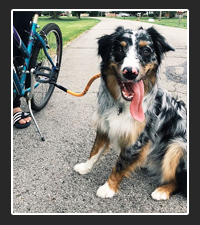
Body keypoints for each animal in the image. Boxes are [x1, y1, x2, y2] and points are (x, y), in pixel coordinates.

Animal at [74, 26, 188, 200]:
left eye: (146, 51)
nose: (130, 72)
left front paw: (108, 188)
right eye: (119, 49)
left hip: (178, 145)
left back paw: (162, 191)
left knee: (180, 182)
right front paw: (85, 167)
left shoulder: (137, 140)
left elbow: (119, 165)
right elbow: (94, 151)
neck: (123, 104)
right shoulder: (104, 126)